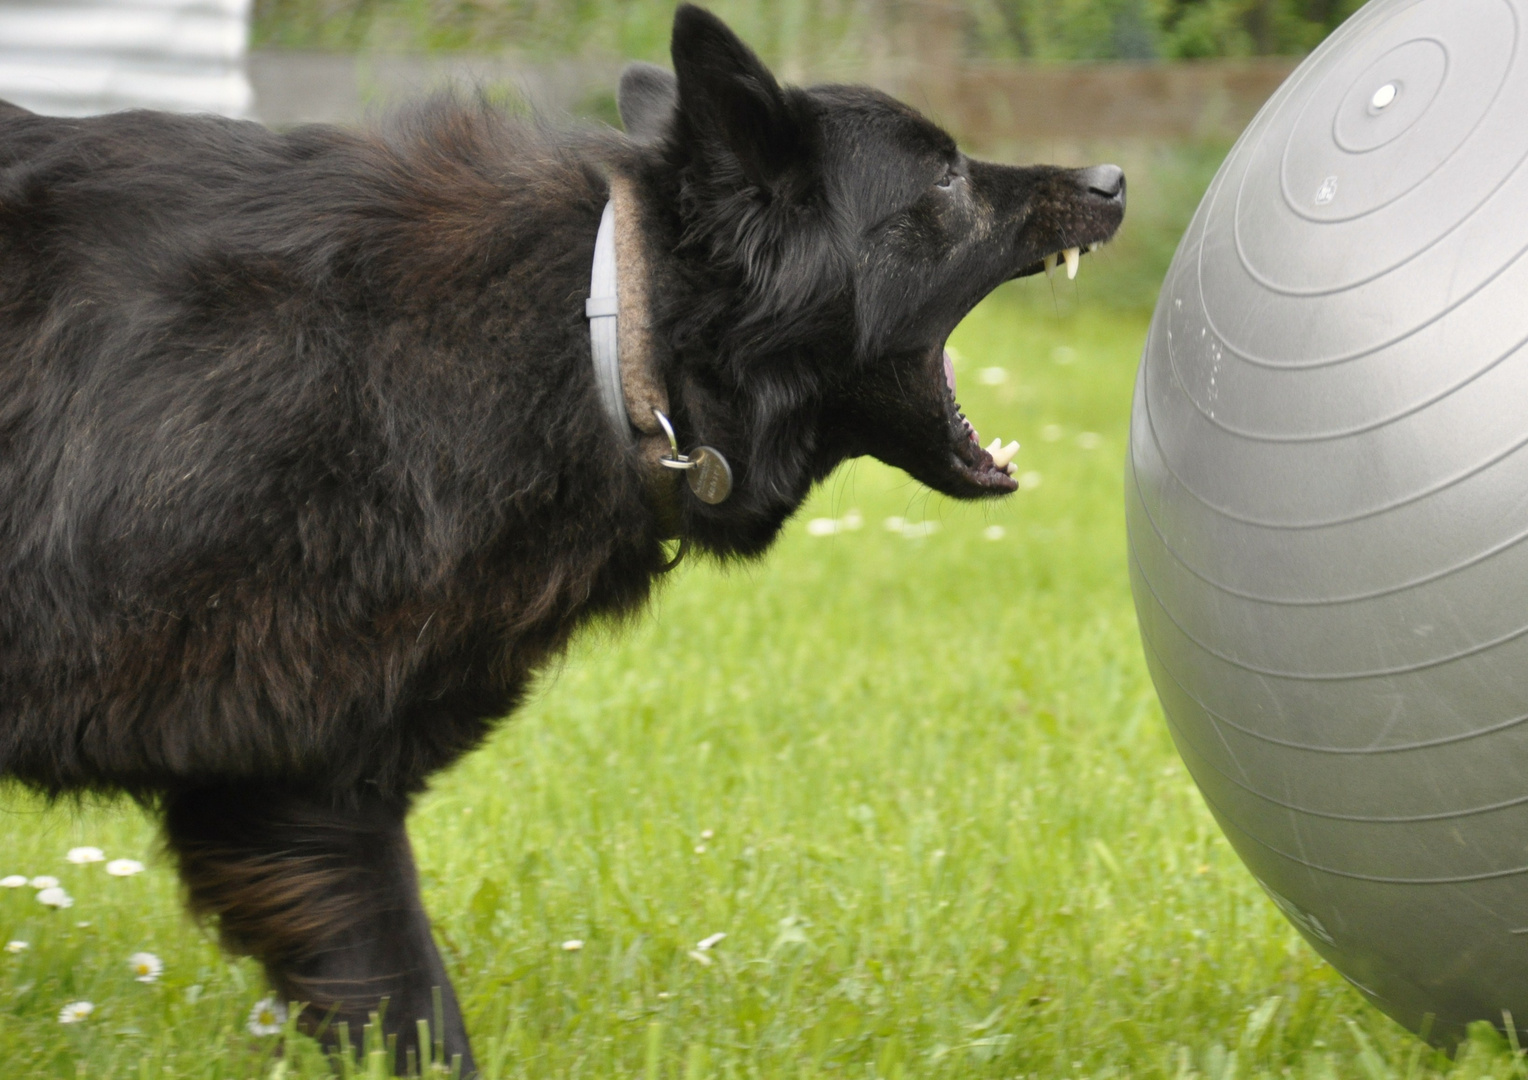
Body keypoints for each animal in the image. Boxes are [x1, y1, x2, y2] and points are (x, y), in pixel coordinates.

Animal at [0, 6, 1124, 1075]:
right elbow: (417, 1006)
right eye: (943, 175)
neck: (604, 326)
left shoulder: (293, 785)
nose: (1111, 178)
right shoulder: (303, 771)